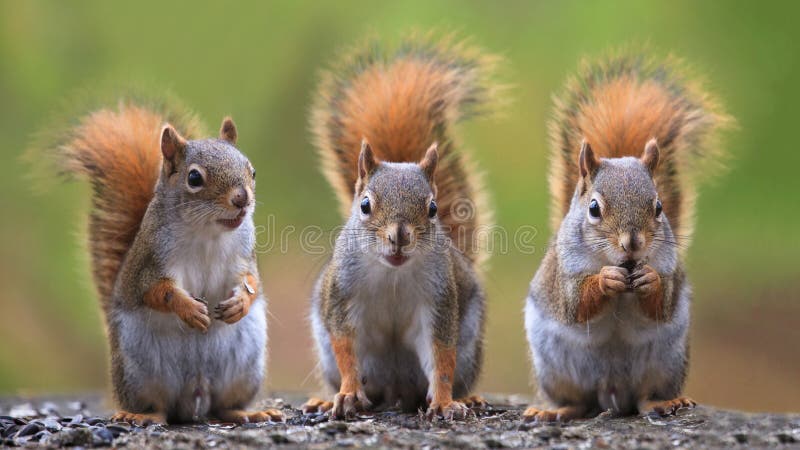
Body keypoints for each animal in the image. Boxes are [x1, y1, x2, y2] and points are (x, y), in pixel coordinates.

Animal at [38, 99, 282, 426]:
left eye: (252, 171)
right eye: (194, 178)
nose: (242, 199)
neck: (208, 233)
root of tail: (196, 395)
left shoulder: (244, 256)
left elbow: (252, 280)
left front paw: (240, 303)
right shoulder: (151, 262)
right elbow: (156, 291)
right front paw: (189, 309)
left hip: (244, 369)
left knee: (224, 407)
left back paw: (249, 411)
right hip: (139, 373)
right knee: (160, 407)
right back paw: (141, 415)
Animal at [302, 36, 500, 422]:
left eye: (433, 208)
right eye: (364, 205)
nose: (400, 236)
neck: (391, 274)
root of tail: (395, 392)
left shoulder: (438, 301)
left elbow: (440, 356)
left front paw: (444, 402)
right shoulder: (342, 298)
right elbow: (346, 349)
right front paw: (348, 394)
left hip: (470, 349)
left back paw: (467, 398)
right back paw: (327, 398)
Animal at [520, 52, 736, 422]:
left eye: (659, 206)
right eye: (594, 208)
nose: (633, 244)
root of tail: (612, 391)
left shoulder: (669, 269)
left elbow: (662, 303)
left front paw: (648, 279)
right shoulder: (566, 274)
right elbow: (576, 305)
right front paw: (606, 279)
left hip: (666, 363)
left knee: (644, 398)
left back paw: (664, 403)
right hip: (556, 369)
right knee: (579, 402)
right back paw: (557, 409)